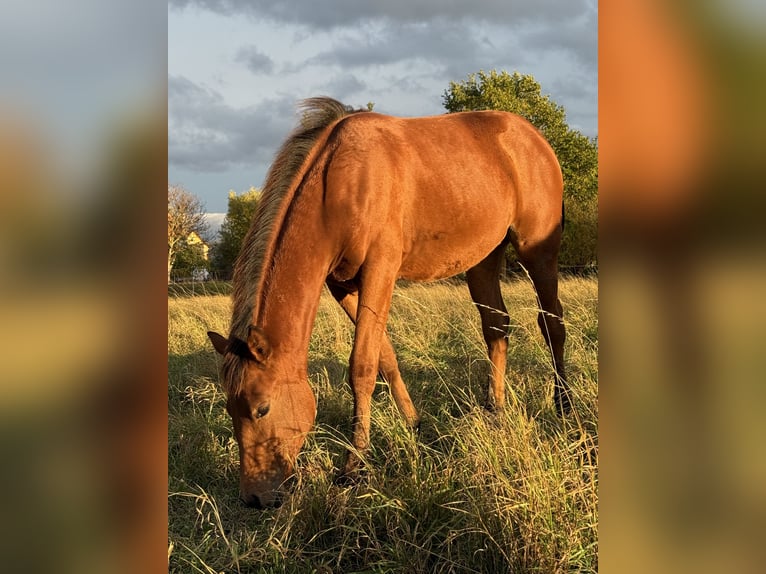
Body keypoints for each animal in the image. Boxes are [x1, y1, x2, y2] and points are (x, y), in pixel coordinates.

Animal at [207, 97, 568, 508]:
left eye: (262, 408)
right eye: (230, 408)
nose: (255, 498)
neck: (338, 182)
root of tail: (533, 137)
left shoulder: (381, 269)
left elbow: (362, 366)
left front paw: (353, 465)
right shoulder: (342, 284)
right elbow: (385, 356)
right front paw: (414, 424)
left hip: (537, 250)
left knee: (552, 323)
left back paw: (563, 405)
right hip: (483, 260)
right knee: (496, 328)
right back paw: (495, 409)